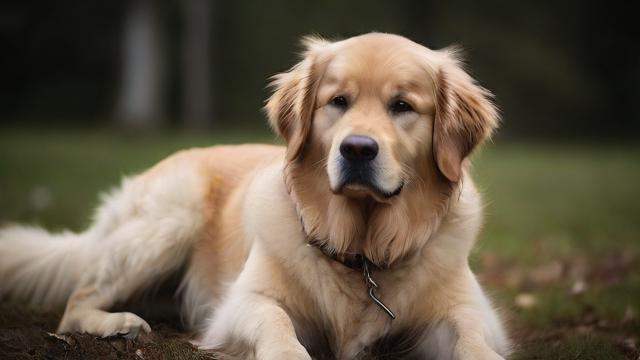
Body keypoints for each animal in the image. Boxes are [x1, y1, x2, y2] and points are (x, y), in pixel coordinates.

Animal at [0, 32, 510, 358]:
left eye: (402, 105)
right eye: (338, 102)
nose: (357, 149)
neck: (363, 250)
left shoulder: (466, 309)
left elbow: (471, 334)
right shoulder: (244, 301)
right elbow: (277, 324)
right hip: (170, 218)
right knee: (75, 303)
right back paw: (117, 324)